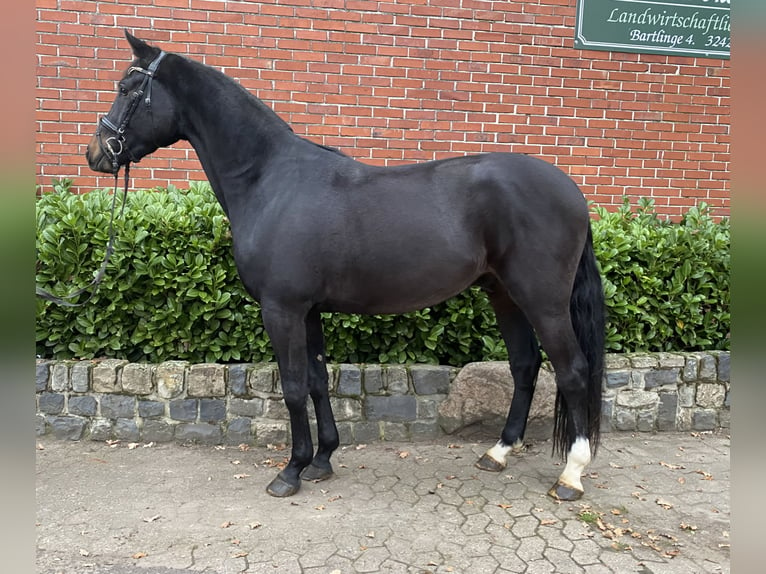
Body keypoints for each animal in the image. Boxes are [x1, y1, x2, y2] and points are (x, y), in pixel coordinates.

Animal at [88, 33, 608, 504]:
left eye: (127, 87)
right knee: (525, 365)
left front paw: (290, 471)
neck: (270, 179)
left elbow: (294, 386)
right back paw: (498, 452)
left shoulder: (281, 309)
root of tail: (573, 192)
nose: (98, 152)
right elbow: (318, 381)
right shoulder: (308, 310)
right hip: (503, 293)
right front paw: (321, 460)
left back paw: (571, 475)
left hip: (543, 300)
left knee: (572, 370)